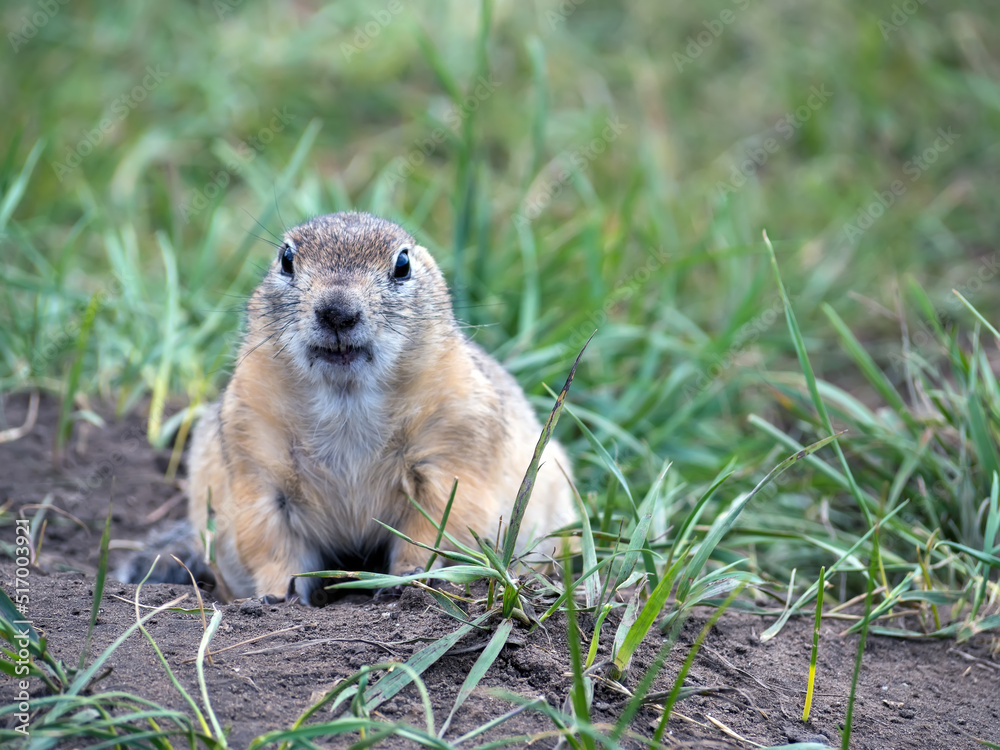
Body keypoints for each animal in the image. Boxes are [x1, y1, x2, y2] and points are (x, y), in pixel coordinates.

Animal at [141, 212, 580, 604]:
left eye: (403, 264)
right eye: (286, 258)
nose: (337, 311)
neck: (346, 399)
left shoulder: (453, 440)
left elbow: (440, 525)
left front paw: (410, 578)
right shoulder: (254, 452)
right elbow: (269, 541)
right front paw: (276, 596)